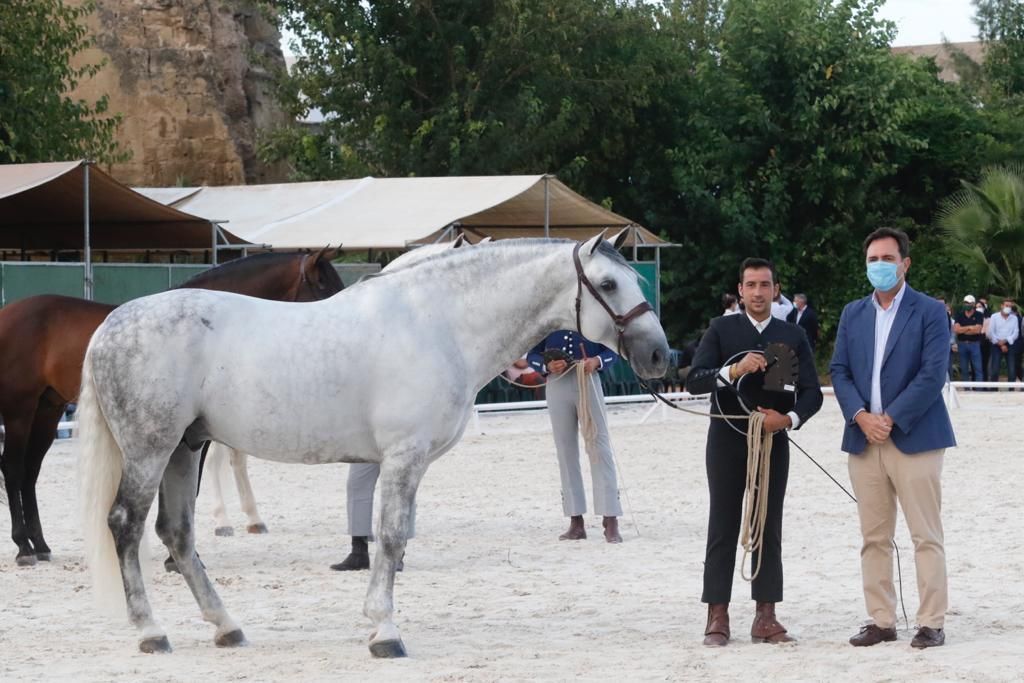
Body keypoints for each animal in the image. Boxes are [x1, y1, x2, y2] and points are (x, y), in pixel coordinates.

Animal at [0, 246, 344, 565]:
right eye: (323, 285)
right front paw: (176, 557)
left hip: (47, 409)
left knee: (30, 471)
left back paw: (40, 544)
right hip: (20, 410)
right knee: (14, 469)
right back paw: (23, 547)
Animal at [81, 235, 671, 655]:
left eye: (635, 278)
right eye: (607, 284)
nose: (660, 355)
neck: (440, 322)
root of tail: (110, 325)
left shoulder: (409, 462)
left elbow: (398, 535)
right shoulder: (403, 457)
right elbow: (388, 537)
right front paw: (385, 632)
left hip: (184, 448)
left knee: (177, 534)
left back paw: (226, 626)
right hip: (151, 450)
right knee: (126, 525)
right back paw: (151, 631)